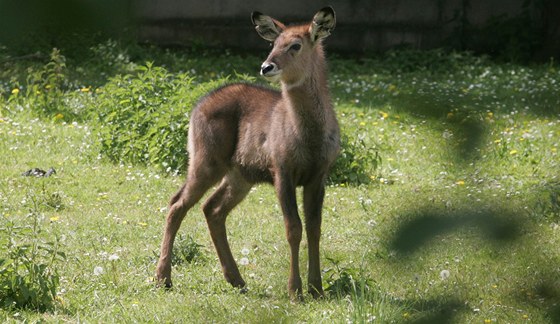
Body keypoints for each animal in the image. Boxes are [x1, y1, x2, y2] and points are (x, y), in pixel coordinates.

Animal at [158, 6, 342, 298]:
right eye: (273, 44)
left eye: (295, 45)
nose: (267, 66)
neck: (310, 137)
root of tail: (197, 106)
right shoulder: (282, 171)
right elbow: (293, 228)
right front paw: (295, 291)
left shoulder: (318, 175)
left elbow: (315, 228)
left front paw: (317, 289)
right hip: (206, 161)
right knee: (177, 204)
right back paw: (163, 278)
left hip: (240, 175)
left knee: (212, 209)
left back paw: (237, 280)